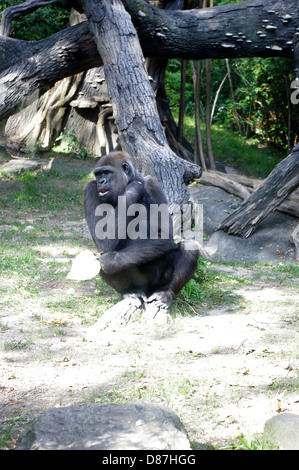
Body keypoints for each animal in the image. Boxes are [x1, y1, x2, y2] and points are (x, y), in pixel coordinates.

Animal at [84, 151, 200, 312]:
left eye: (106, 172)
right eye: (98, 174)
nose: (100, 181)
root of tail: (148, 292)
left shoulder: (152, 183)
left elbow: (165, 234)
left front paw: (111, 260)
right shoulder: (90, 189)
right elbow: (103, 240)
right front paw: (132, 191)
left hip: (157, 285)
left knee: (190, 247)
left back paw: (165, 294)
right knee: (98, 259)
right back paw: (130, 292)